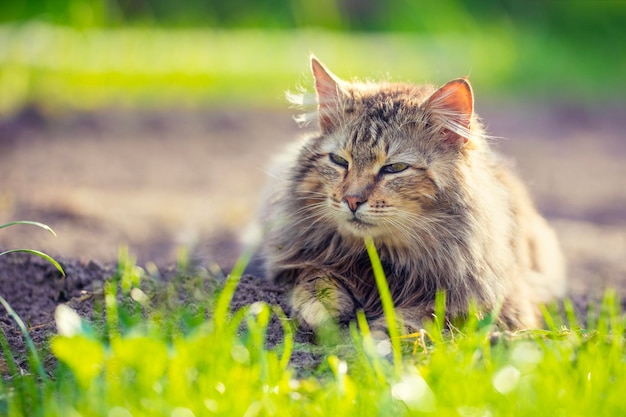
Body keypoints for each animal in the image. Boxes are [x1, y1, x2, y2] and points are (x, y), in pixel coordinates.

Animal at [258, 55, 564, 334]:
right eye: (339, 161)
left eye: (394, 168)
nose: (352, 200)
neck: (382, 258)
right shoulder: (299, 262)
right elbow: (315, 279)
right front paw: (326, 315)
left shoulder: (492, 301)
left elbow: (424, 315)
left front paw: (380, 339)